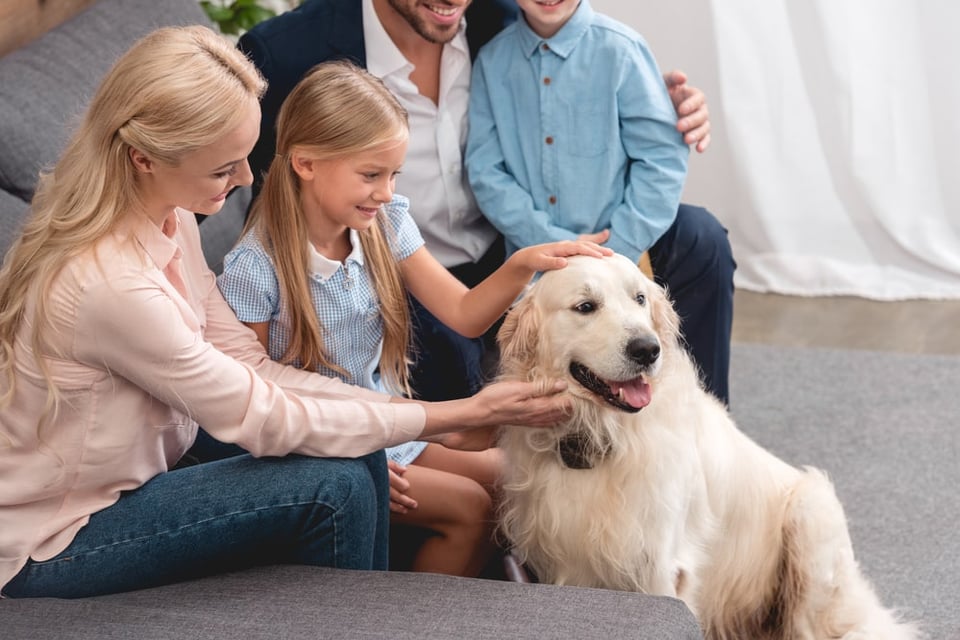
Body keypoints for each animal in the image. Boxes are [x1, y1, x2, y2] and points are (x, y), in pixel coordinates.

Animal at [498, 254, 920, 640]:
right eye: (585, 306)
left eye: (638, 298)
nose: (647, 349)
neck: (604, 432)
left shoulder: (661, 567)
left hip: (813, 516)